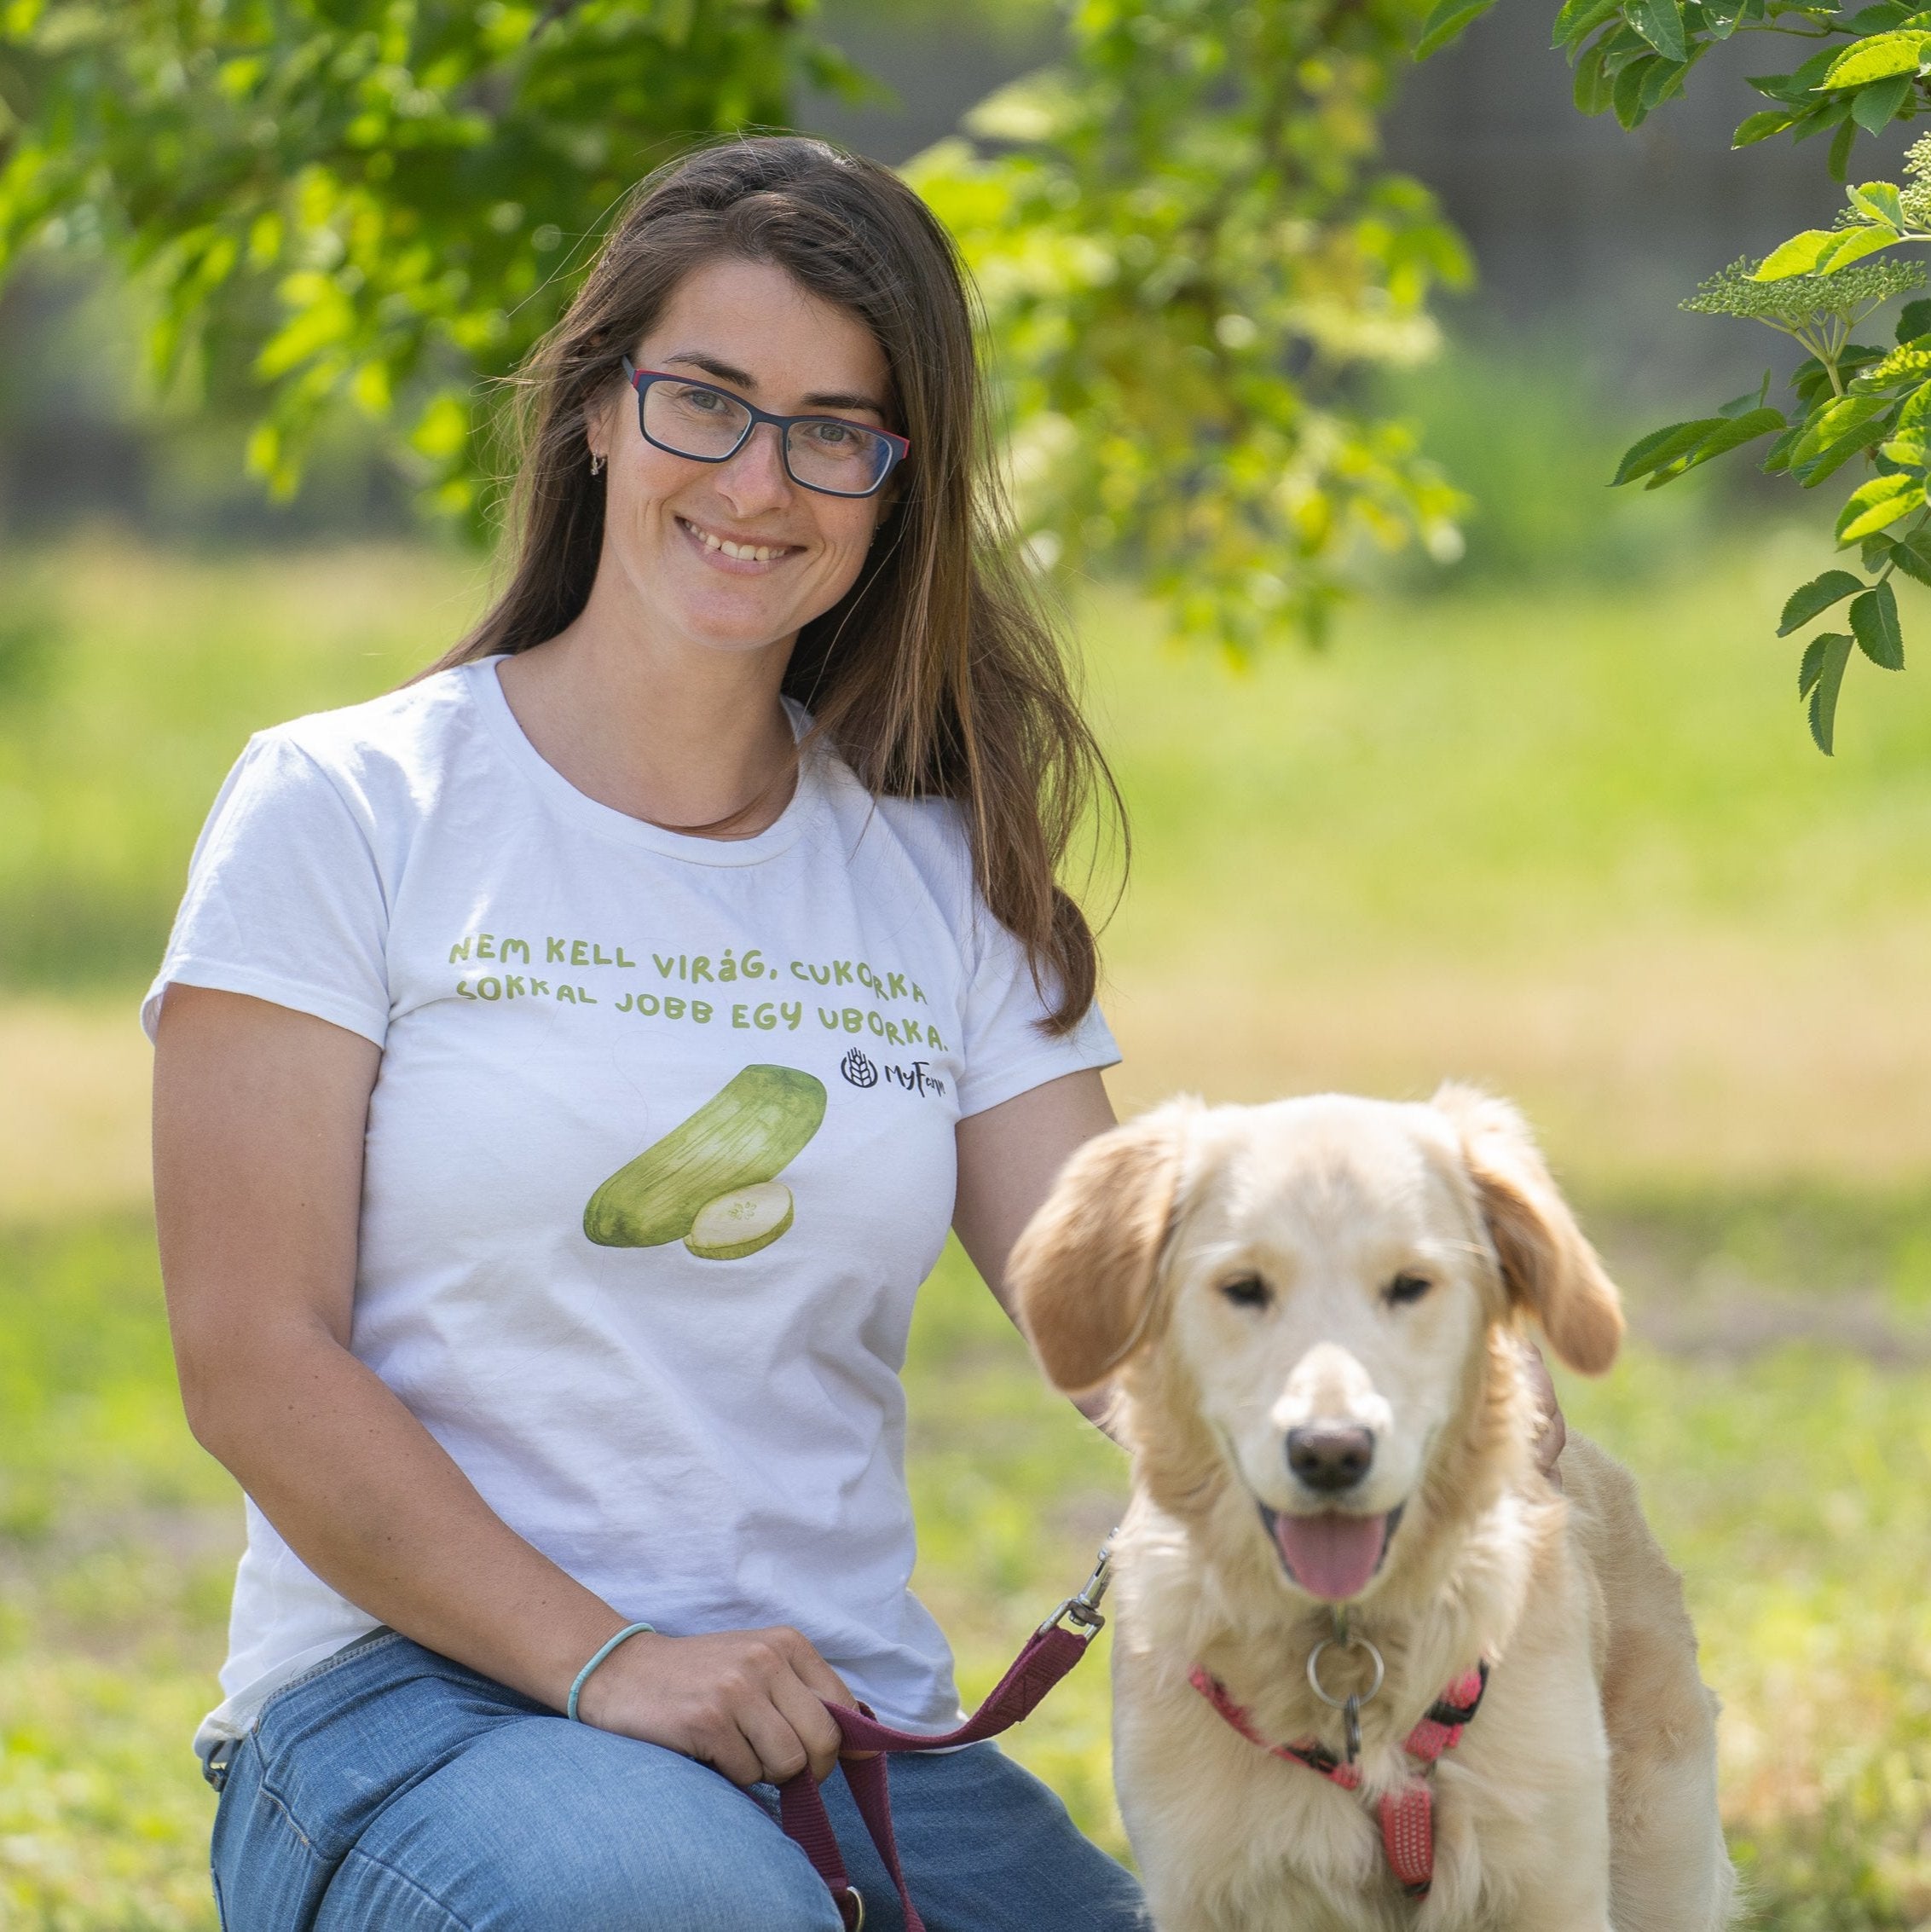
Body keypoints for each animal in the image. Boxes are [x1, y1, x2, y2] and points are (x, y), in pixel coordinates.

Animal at [1011, 1090, 1737, 1932]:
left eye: (1409, 1285)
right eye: (1244, 1287)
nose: (1330, 1452)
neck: (1346, 1644)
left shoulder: (1549, 1876)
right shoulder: (1204, 1881)